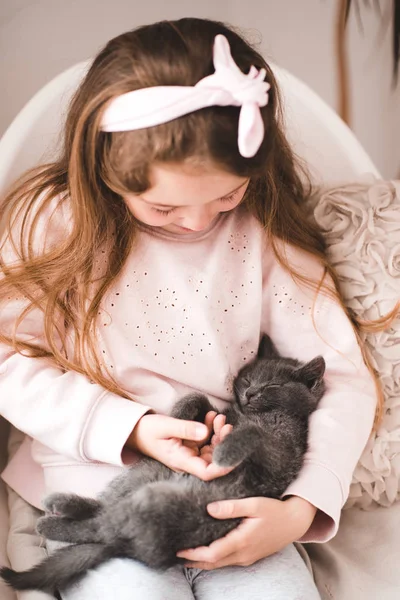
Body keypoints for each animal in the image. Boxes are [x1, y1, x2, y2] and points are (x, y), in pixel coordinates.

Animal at [0, 336, 324, 592]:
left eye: (272, 385)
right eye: (247, 379)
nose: (249, 393)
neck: (253, 414)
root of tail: (130, 547)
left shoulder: (280, 451)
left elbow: (252, 433)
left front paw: (223, 454)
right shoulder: (221, 417)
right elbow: (200, 400)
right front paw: (179, 414)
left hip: (161, 506)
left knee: (102, 525)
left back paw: (51, 521)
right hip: (147, 473)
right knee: (104, 512)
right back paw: (60, 508)